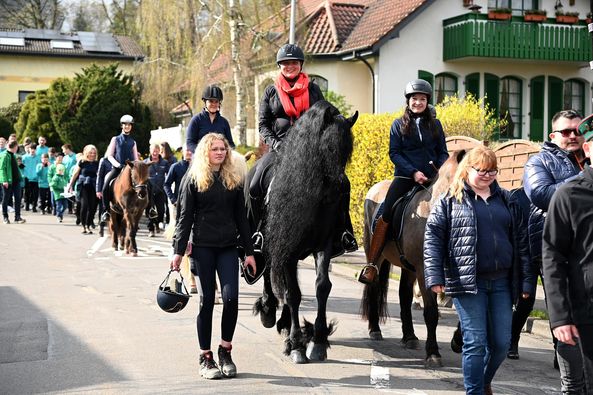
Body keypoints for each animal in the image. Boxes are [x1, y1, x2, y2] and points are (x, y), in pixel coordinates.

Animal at [245, 100, 356, 364]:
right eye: (327, 145)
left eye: (348, 150)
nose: (341, 186)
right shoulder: (287, 247)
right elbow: (293, 293)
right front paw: (296, 345)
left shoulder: (324, 245)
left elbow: (322, 286)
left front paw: (319, 340)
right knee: (270, 277)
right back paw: (269, 311)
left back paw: (285, 323)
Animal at [358, 149, 464, 368]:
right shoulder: (424, 270)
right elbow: (431, 312)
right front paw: (433, 353)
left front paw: (457, 342)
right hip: (376, 255)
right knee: (374, 287)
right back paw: (375, 330)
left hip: (407, 267)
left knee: (404, 295)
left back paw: (410, 337)